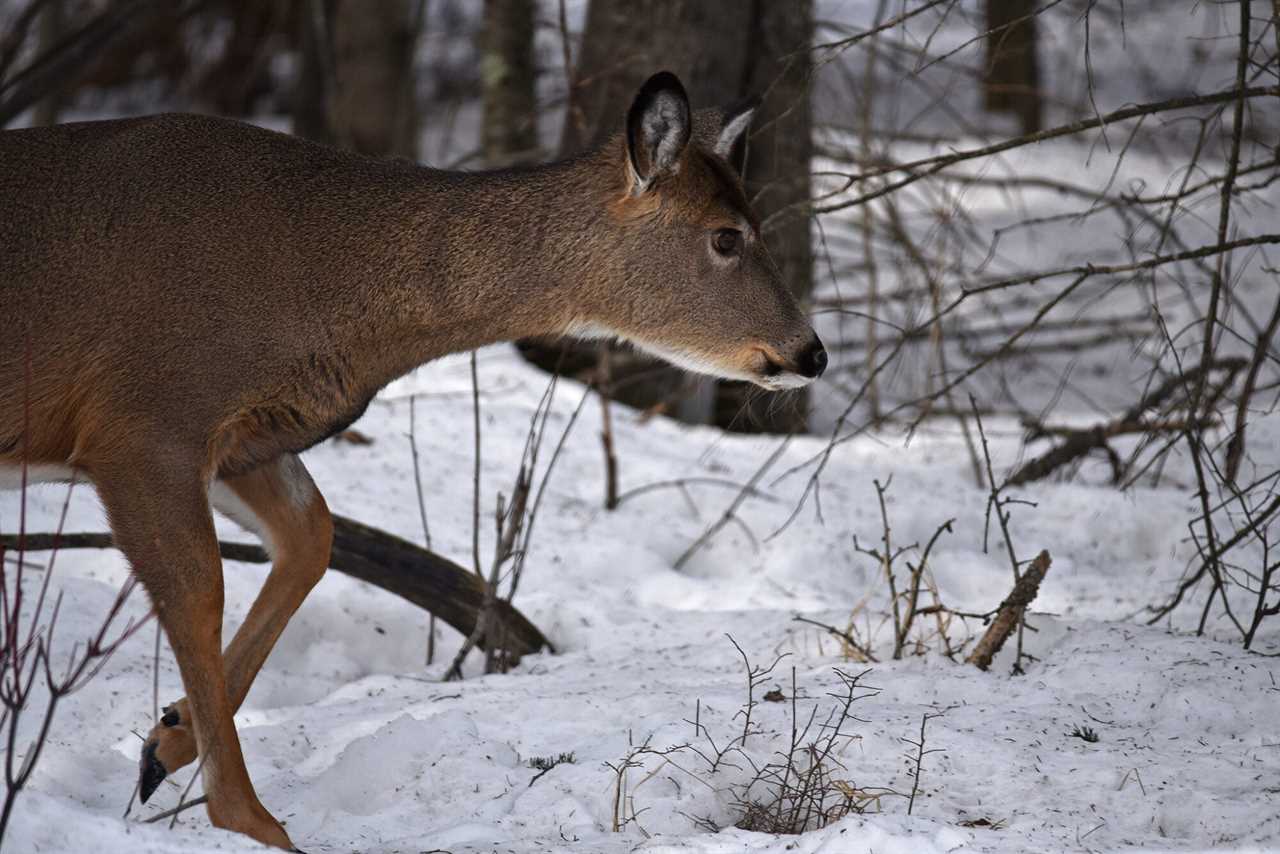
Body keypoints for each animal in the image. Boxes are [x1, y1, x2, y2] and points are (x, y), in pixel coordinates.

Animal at [0, 73, 829, 850]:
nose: (811, 353)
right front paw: (250, 821)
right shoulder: (142, 423)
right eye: (726, 237)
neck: (328, 288)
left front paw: (163, 742)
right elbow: (199, 591)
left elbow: (312, 537)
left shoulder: (243, 439)